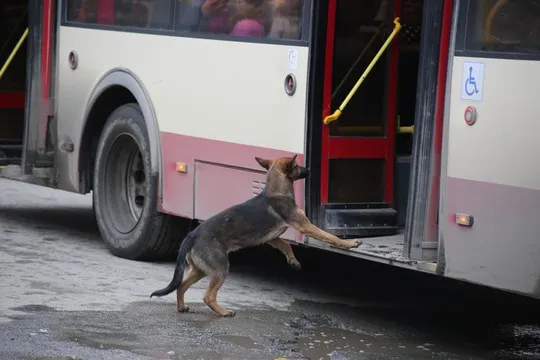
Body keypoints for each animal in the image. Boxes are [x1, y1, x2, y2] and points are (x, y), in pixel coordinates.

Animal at [151, 155, 362, 316]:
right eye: (296, 165)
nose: (309, 168)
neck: (276, 190)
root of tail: (191, 236)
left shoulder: (273, 238)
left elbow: (287, 245)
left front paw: (293, 261)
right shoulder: (305, 226)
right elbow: (330, 237)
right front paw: (350, 243)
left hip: (200, 270)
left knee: (181, 286)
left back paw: (182, 307)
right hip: (220, 268)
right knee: (207, 296)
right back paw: (224, 312)